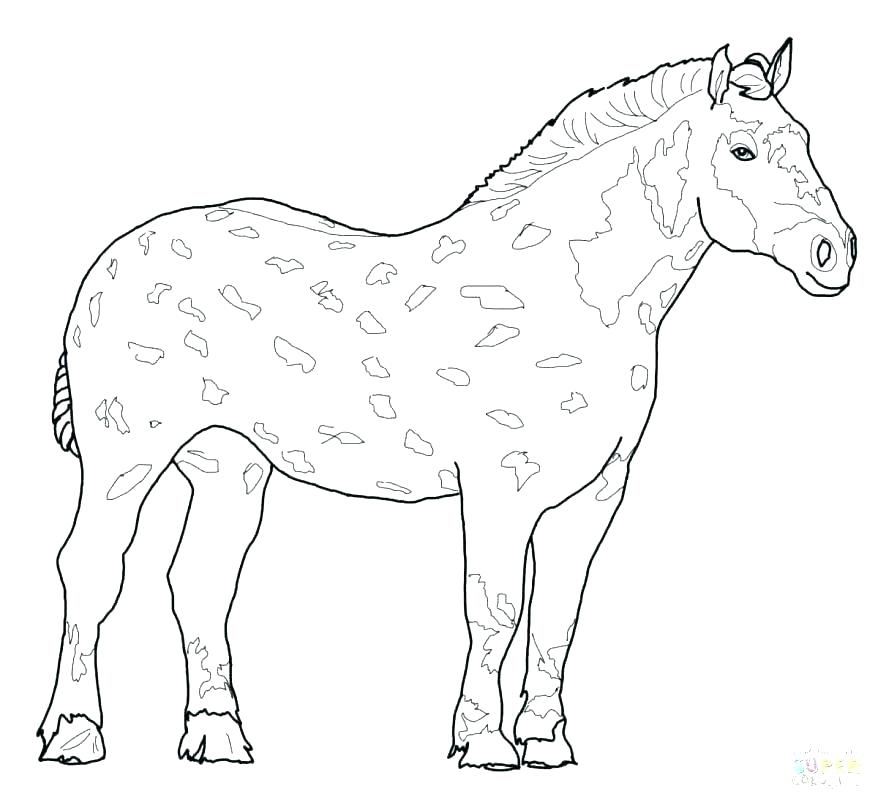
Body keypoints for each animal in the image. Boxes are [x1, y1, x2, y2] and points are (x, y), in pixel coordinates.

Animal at [40, 39, 856, 768]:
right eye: (743, 151)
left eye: (805, 140)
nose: (834, 255)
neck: (567, 290)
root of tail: (112, 258)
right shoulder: (502, 486)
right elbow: (495, 608)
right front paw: (486, 744)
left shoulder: (593, 496)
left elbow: (557, 614)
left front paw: (545, 743)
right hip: (126, 457)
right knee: (91, 568)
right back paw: (76, 733)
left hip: (228, 464)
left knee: (201, 582)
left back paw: (217, 737)